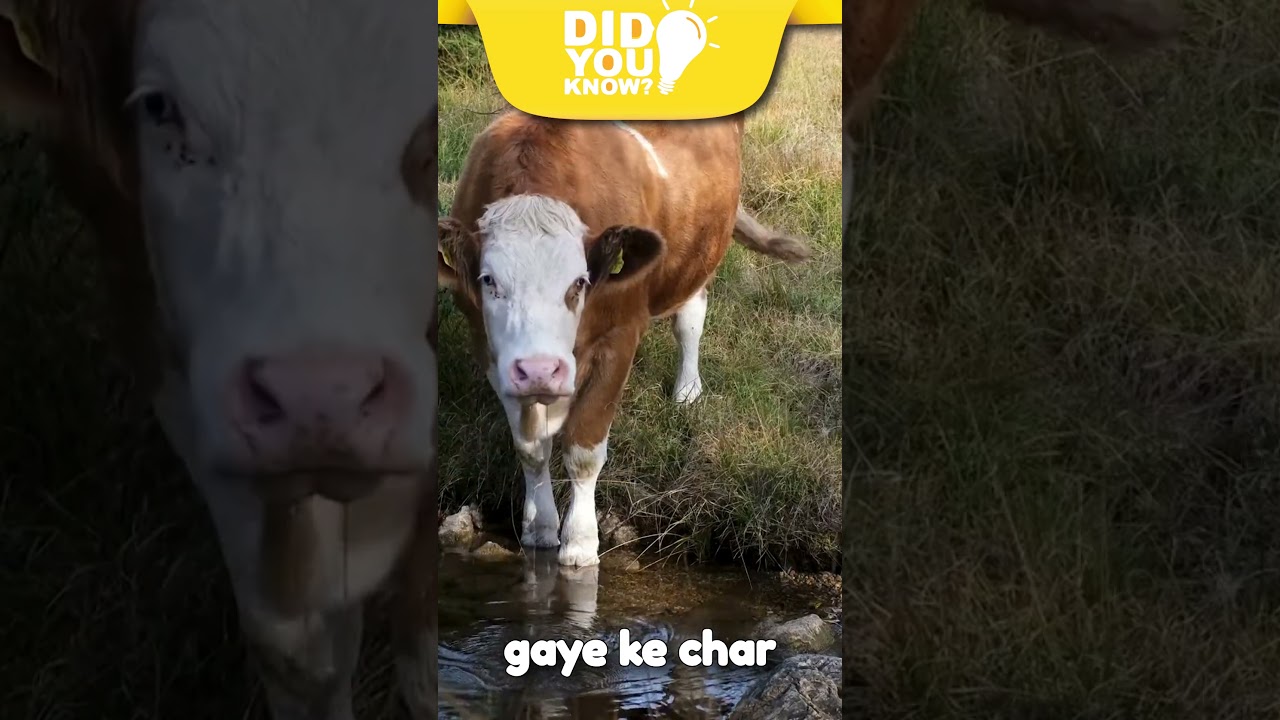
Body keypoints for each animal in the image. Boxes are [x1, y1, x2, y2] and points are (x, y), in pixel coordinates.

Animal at [436, 111, 810, 568]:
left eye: (579, 282)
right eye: (489, 281)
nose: (541, 369)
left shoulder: (620, 336)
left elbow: (583, 450)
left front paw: (580, 542)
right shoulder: (492, 351)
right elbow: (530, 448)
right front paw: (539, 527)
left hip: (701, 254)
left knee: (690, 317)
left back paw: (687, 390)